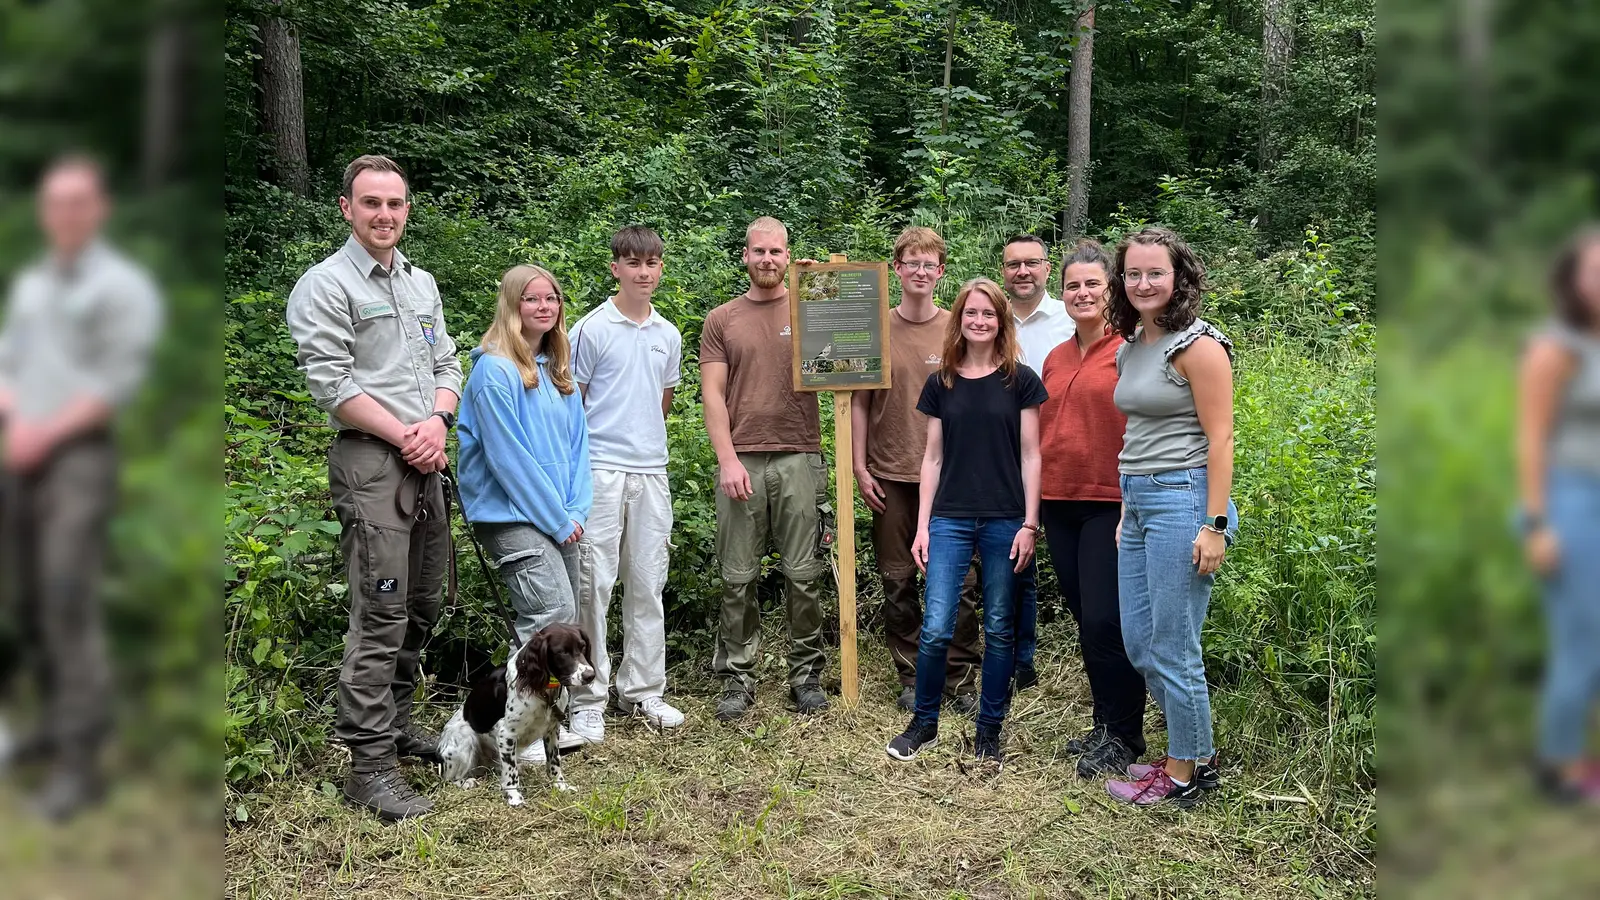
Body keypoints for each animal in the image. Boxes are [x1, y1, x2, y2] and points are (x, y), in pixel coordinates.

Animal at [441, 621, 598, 800]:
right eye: (562, 652)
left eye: (583, 647)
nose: (590, 675)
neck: (542, 689)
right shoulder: (506, 733)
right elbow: (510, 769)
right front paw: (514, 796)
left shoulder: (552, 729)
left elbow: (554, 761)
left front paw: (560, 785)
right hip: (465, 739)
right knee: (450, 778)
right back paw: (466, 782)